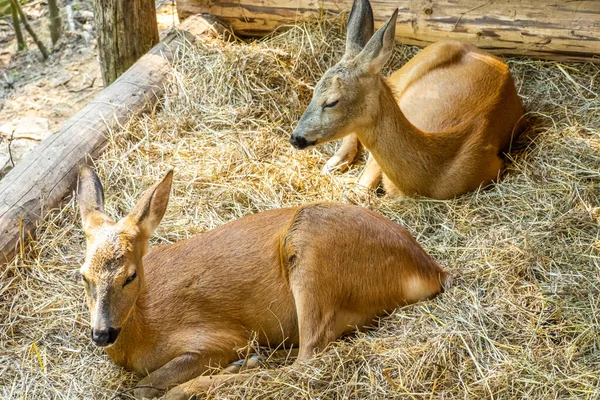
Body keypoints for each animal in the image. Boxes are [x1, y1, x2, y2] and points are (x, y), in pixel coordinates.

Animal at [76, 165, 450, 396]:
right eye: (83, 276)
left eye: (130, 275)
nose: (101, 334)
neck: (143, 327)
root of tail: (430, 271)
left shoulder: (216, 338)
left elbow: (142, 388)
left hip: (312, 254)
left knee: (307, 361)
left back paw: (199, 386)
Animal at [290, 0, 524, 199]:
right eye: (314, 91)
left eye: (331, 102)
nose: (295, 138)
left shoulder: (493, 168)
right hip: (405, 71)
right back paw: (334, 163)